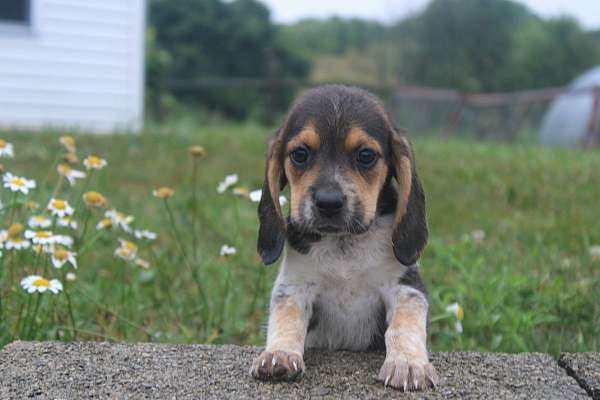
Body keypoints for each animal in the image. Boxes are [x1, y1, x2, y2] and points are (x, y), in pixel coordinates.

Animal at [251, 83, 438, 390]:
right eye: (299, 154)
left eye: (365, 156)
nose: (329, 202)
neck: (344, 247)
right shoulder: (294, 287)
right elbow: (286, 318)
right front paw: (279, 354)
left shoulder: (405, 288)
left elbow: (404, 326)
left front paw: (408, 363)